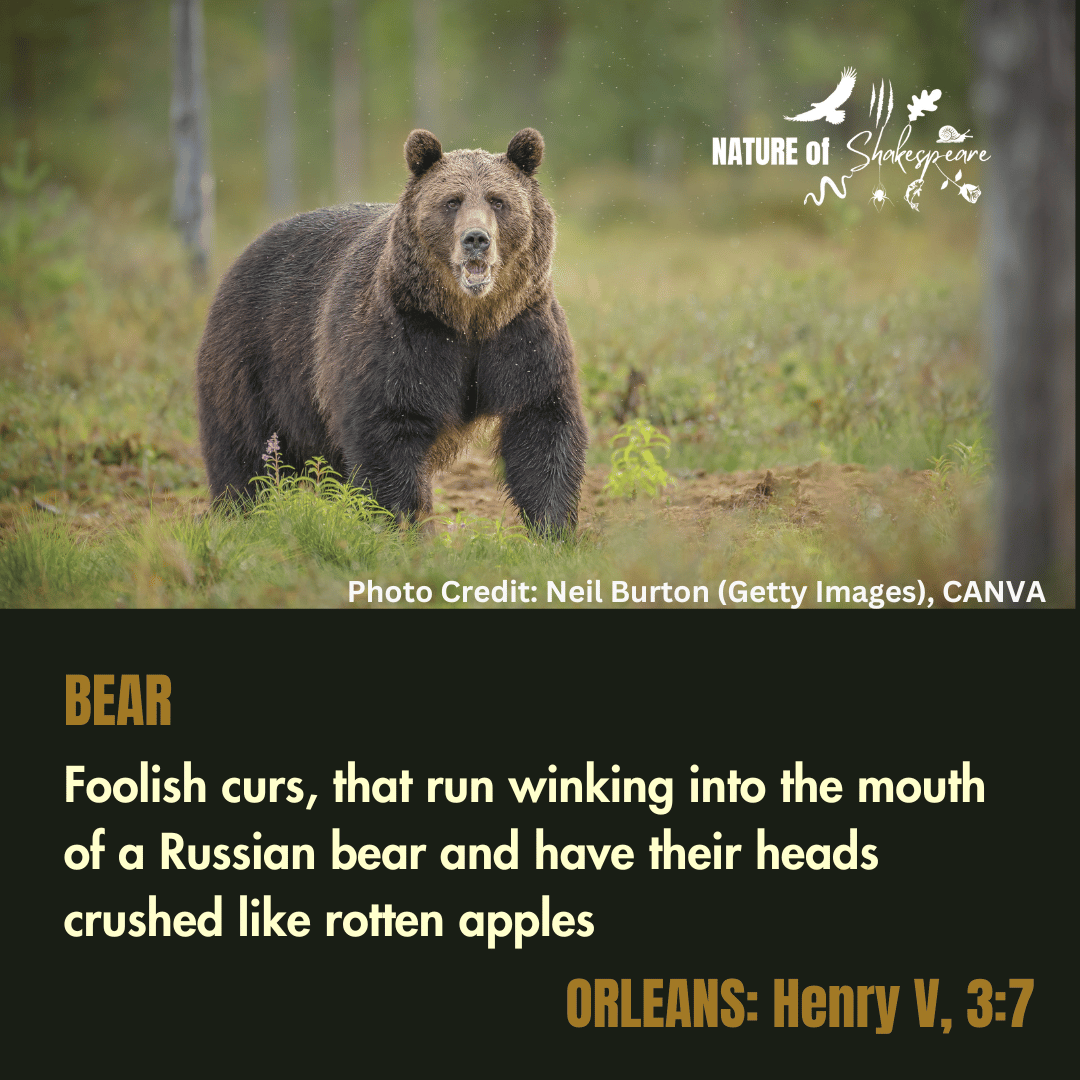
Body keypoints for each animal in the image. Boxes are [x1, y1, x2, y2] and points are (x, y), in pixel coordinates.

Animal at [195, 127, 588, 534]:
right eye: (452, 201)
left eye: (498, 200)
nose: (476, 239)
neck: (469, 318)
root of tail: (245, 253)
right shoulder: (406, 335)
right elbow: (388, 428)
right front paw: (405, 523)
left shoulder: (521, 332)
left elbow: (541, 423)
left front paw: (553, 527)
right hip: (255, 355)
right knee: (245, 447)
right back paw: (242, 512)